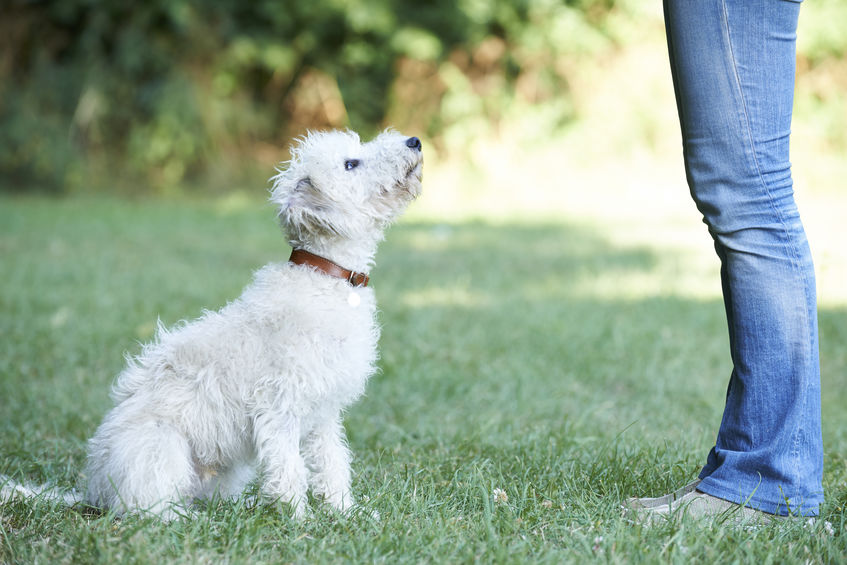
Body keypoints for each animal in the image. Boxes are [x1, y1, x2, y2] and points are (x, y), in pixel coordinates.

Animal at [0, 130, 424, 516]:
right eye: (352, 163)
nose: (415, 141)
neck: (325, 277)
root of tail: (94, 492)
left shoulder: (324, 414)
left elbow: (333, 463)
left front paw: (344, 512)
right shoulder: (279, 408)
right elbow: (290, 469)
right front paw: (299, 520)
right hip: (161, 447)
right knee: (147, 509)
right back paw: (189, 519)